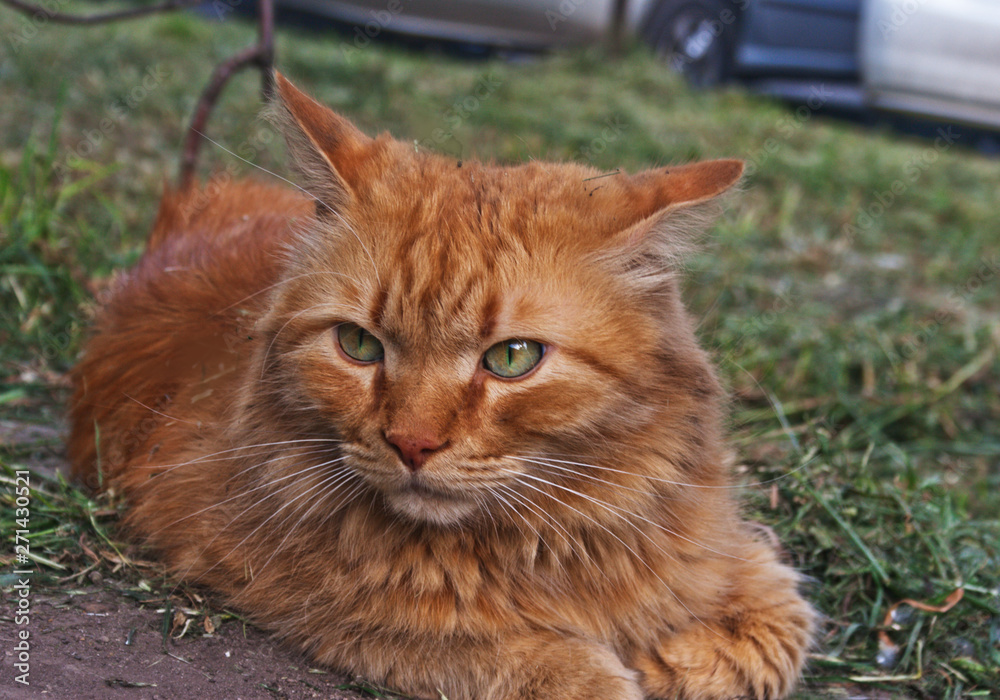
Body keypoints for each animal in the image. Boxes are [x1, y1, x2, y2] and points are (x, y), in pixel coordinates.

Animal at [68, 72, 812, 700]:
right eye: (359, 345)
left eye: (512, 358)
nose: (412, 444)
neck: (558, 538)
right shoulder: (290, 584)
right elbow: (513, 658)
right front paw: (625, 669)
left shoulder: (734, 554)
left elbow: (776, 624)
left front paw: (671, 659)